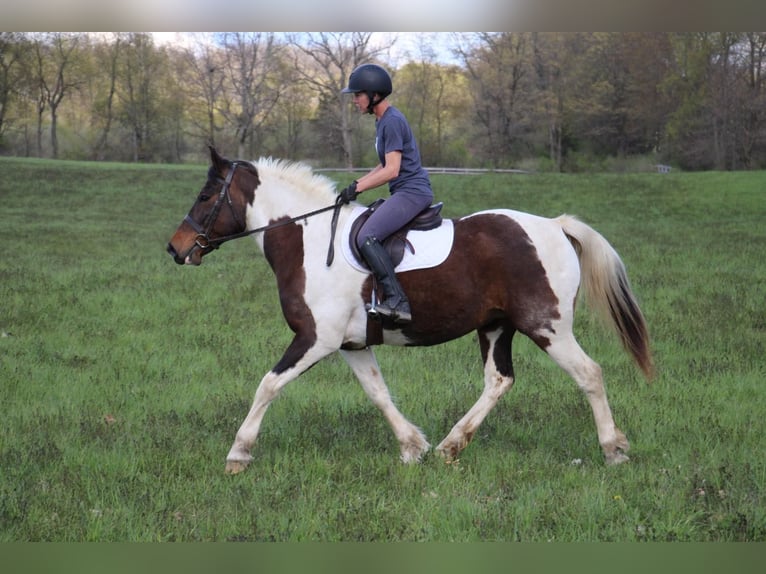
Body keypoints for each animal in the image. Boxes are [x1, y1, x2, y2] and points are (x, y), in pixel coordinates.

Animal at [166, 148, 656, 476]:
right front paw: (411, 447)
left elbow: (267, 385)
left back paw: (613, 450)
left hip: (547, 326)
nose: (175, 249)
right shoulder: (351, 343)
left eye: (206, 195)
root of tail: (554, 226)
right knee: (499, 381)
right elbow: (378, 393)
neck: (307, 240)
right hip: (496, 326)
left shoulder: (314, 339)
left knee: (589, 374)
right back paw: (450, 446)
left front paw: (238, 453)